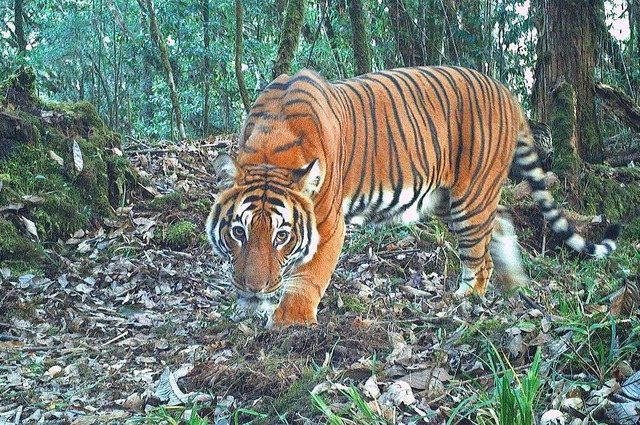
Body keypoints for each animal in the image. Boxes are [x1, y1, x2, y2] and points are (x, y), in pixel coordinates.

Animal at [206, 65, 620, 328]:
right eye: (239, 232)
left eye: (283, 235)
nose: (253, 287)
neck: (270, 149)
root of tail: (506, 91)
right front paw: (253, 309)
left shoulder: (326, 223)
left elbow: (308, 275)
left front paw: (289, 324)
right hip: (451, 198)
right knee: (502, 222)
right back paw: (515, 283)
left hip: (469, 197)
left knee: (480, 256)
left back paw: (465, 298)